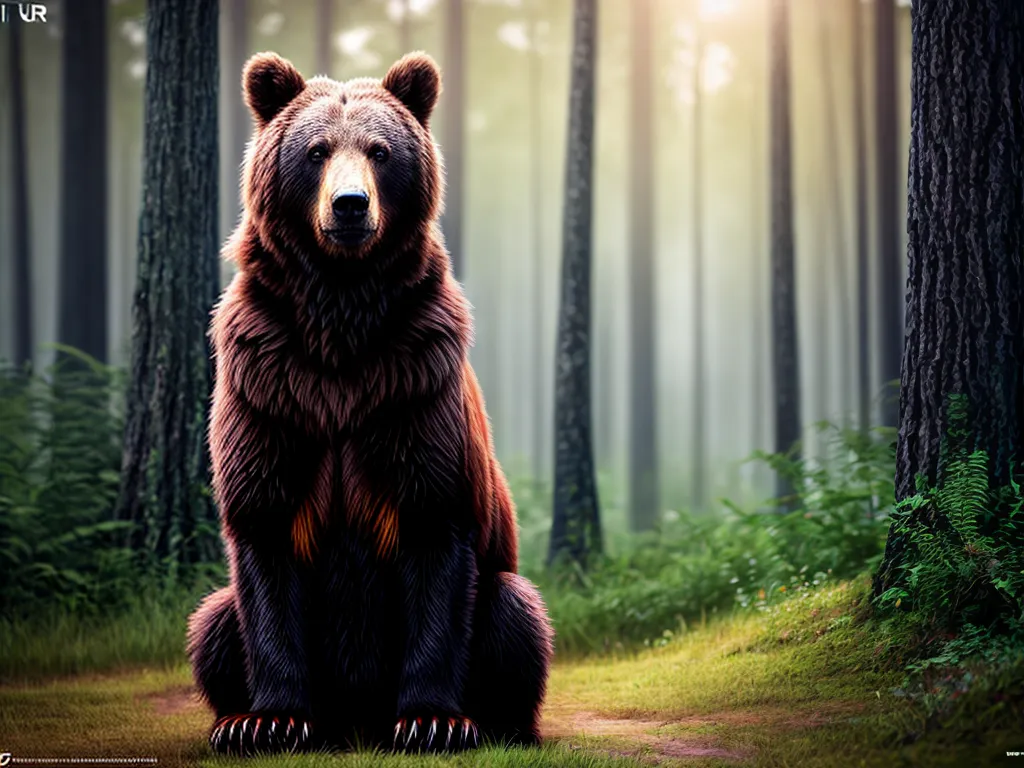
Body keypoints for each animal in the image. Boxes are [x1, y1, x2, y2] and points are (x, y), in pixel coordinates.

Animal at [185, 51, 553, 757]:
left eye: (381, 151)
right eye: (316, 150)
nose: (350, 206)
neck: (340, 317)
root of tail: (352, 719)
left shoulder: (412, 389)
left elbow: (436, 535)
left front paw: (433, 720)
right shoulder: (271, 393)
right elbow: (264, 535)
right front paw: (268, 719)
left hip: (503, 591)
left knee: (517, 616)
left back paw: (502, 722)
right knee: (212, 623)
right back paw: (231, 716)